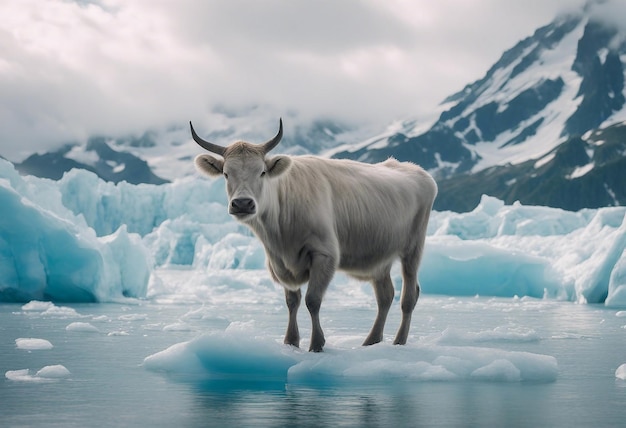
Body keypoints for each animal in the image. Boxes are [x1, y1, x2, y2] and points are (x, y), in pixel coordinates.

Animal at [188, 118, 436, 352]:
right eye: (226, 174)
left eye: (262, 172)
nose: (242, 203)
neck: (280, 233)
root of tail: (417, 171)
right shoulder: (279, 263)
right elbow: (292, 301)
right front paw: (291, 341)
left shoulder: (324, 254)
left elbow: (312, 300)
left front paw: (317, 344)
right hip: (379, 256)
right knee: (385, 296)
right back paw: (370, 342)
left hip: (413, 248)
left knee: (408, 296)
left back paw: (399, 342)